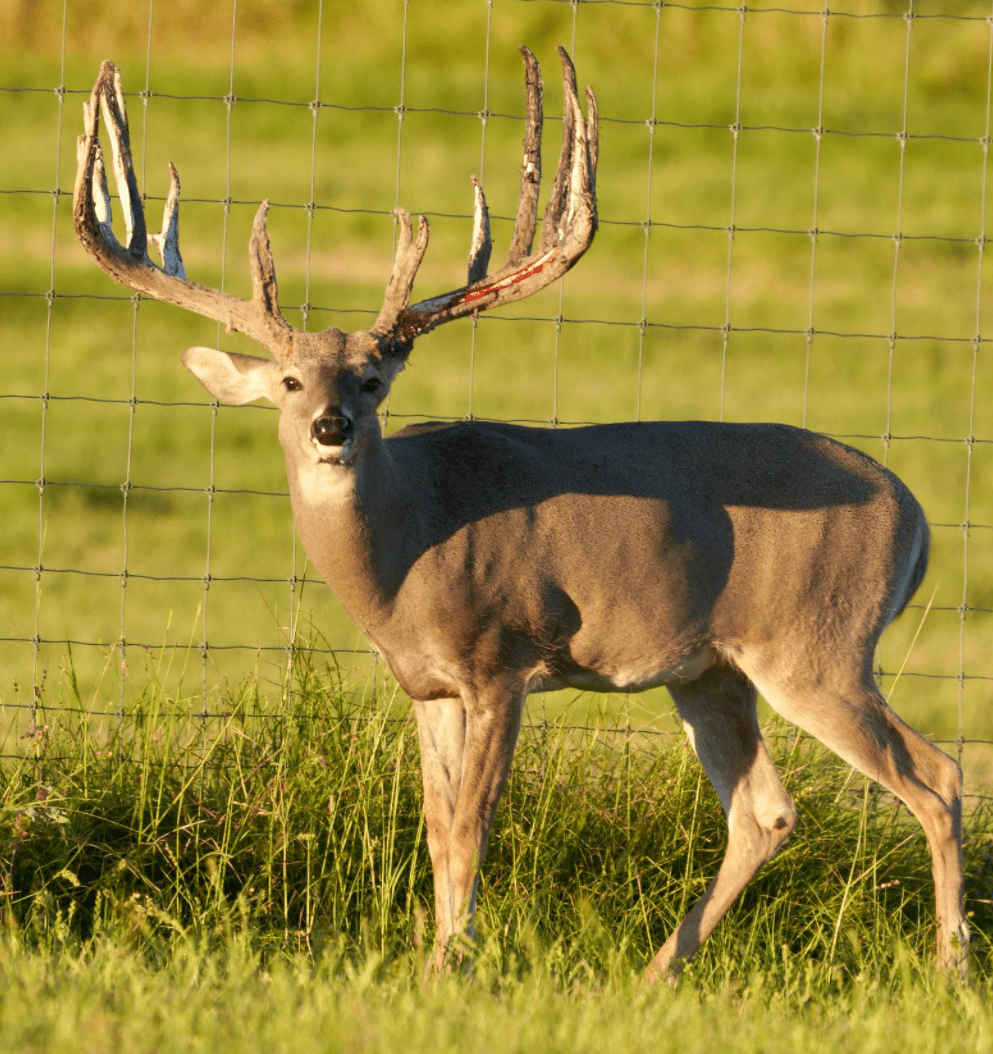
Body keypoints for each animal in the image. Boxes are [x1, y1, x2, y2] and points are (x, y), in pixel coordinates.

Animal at [73, 48, 968, 980]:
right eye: (290, 381)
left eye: (372, 380)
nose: (330, 428)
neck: (405, 551)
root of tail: (915, 515)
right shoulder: (426, 684)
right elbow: (435, 829)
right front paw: (439, 953)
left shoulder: (501, 657)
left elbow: (472, 824)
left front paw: (451, 965)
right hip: (711, 669)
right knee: (765, 811)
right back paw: (656, 971)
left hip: (817, 644)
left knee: (935, 776)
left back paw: (949, 964)